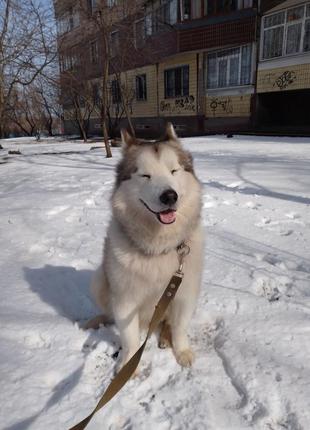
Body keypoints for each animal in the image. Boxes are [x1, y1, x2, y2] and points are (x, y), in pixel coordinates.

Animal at [90, 122, 203, 368]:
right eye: (145, 175)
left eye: (174, 171)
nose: (169, 196)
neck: (159, 247)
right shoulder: (124, 300)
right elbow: (129, 338)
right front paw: (128, 364)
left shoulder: (184, 293)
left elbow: (180, 327)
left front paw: (182, 351)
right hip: (100, 281)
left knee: (166, 323)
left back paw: (164, 338)